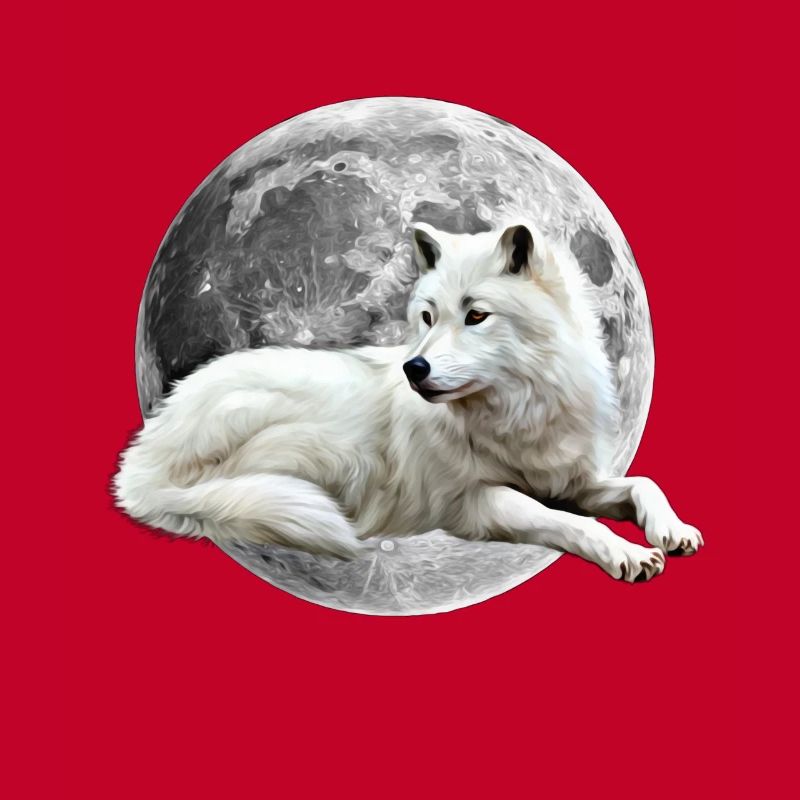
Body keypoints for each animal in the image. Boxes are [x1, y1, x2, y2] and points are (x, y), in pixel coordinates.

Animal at [114, 220, 703, 582]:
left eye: (476, 315)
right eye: (427, 316)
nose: (413, 369)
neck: (516, 408)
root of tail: (143, 455)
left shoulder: (571, 480)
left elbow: (641, 482)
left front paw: (671, 530)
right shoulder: (473, 503)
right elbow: (570, 522)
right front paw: (627, 551)